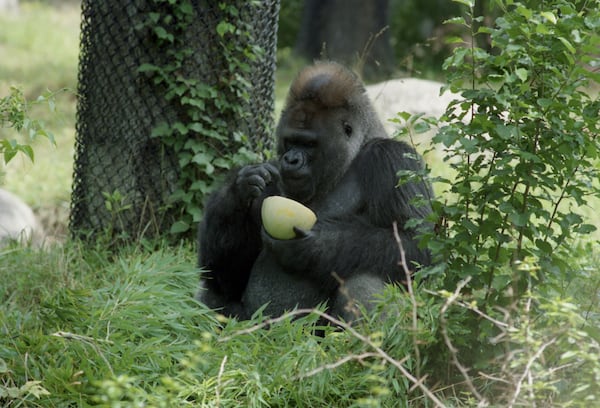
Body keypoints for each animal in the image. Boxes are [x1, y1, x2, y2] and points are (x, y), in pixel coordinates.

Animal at [199, 60, 434, 322]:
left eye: (310, 144)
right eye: (291, 141)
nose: (291, 160)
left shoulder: (393, 160)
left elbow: (415, 245)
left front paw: (314, 246)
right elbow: (225, 277)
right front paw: (239, 189)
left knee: (362, 279)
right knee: (212, 292)